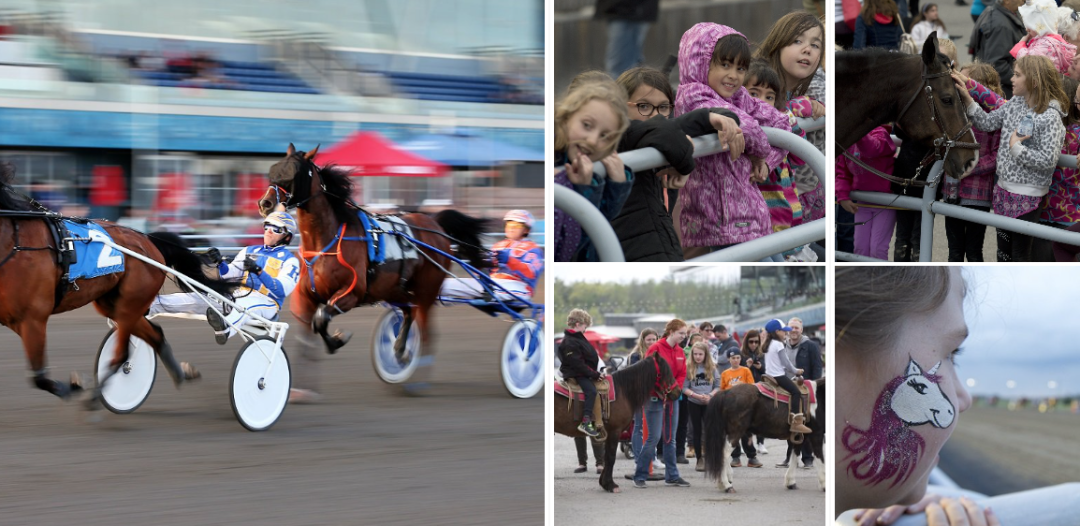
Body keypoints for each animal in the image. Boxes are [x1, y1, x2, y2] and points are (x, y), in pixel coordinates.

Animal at [0, 163, 236, 410]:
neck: (15, 242)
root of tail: (149, 240)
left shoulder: (32, 318)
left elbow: (39, 376)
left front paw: (74, 387)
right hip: (115, 304)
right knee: (155, 334)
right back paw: (180, 374)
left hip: (131, 302)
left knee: (122, 354)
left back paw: (95, 396)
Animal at [257, 144, 486, 390]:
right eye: (274, 170)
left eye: (294, 173)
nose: (265, 203)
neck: (324, 243)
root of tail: (434, 224)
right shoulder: (305, 296)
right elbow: (306, 333)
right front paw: (301, 386)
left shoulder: (351, 294)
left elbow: (321, 318)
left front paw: (337, 340)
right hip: (395, 290)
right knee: (409, 312)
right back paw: (400, 352)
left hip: (427, 290)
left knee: (426, 330)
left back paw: (417, 380)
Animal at [552, 354, 678, 494]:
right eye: (666, 371)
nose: (677, 392)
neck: (622, 390)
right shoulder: (614, 431)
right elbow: (611, 457)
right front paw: (610, 485)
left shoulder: (608, 434)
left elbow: (607, 457)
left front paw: (604, 483)